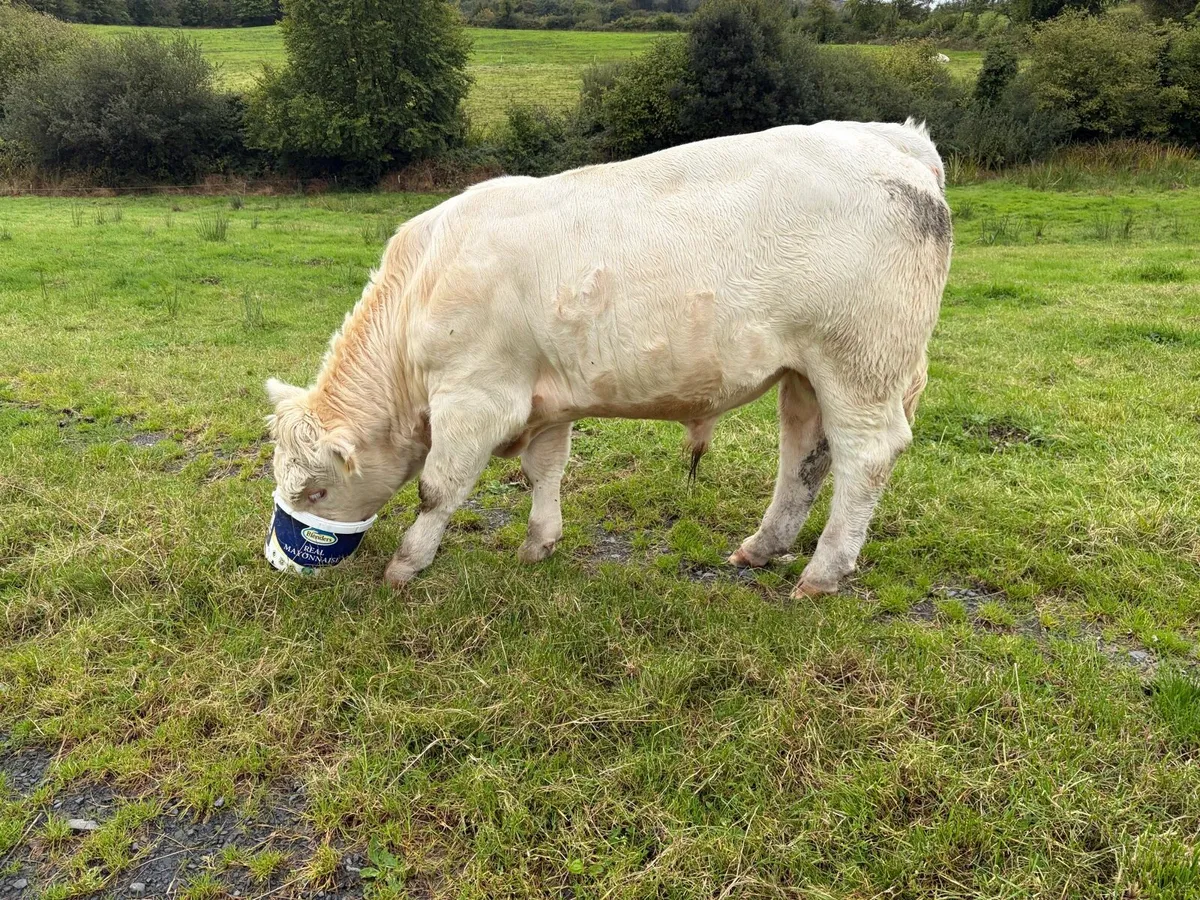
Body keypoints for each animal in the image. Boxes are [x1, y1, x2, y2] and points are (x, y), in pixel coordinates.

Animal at [266, 119, 952, 597]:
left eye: (318, 490)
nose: (282, 559)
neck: (426, 282)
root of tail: (893, 139)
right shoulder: (546, 401)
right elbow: (543, 472)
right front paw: (538, 545)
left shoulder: (476, 396)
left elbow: (439, 488)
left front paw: (407, 563)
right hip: (806, 371)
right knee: (807, 452)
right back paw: (761, 547)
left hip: (860, 361)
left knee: (867, 455)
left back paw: (823, 572)